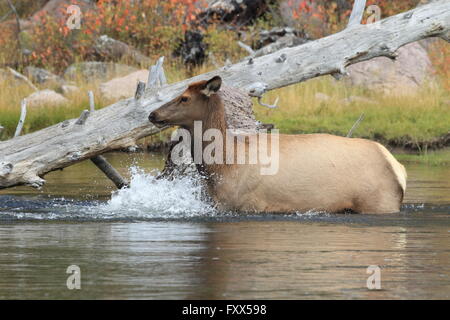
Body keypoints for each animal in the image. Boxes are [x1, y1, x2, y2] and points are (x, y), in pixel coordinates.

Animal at [149, 76, 408, 214]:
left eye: (184, 98)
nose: (153, 114)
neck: (224, 167)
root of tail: (398, 167)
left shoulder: (246, 205)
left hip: (379, 202)